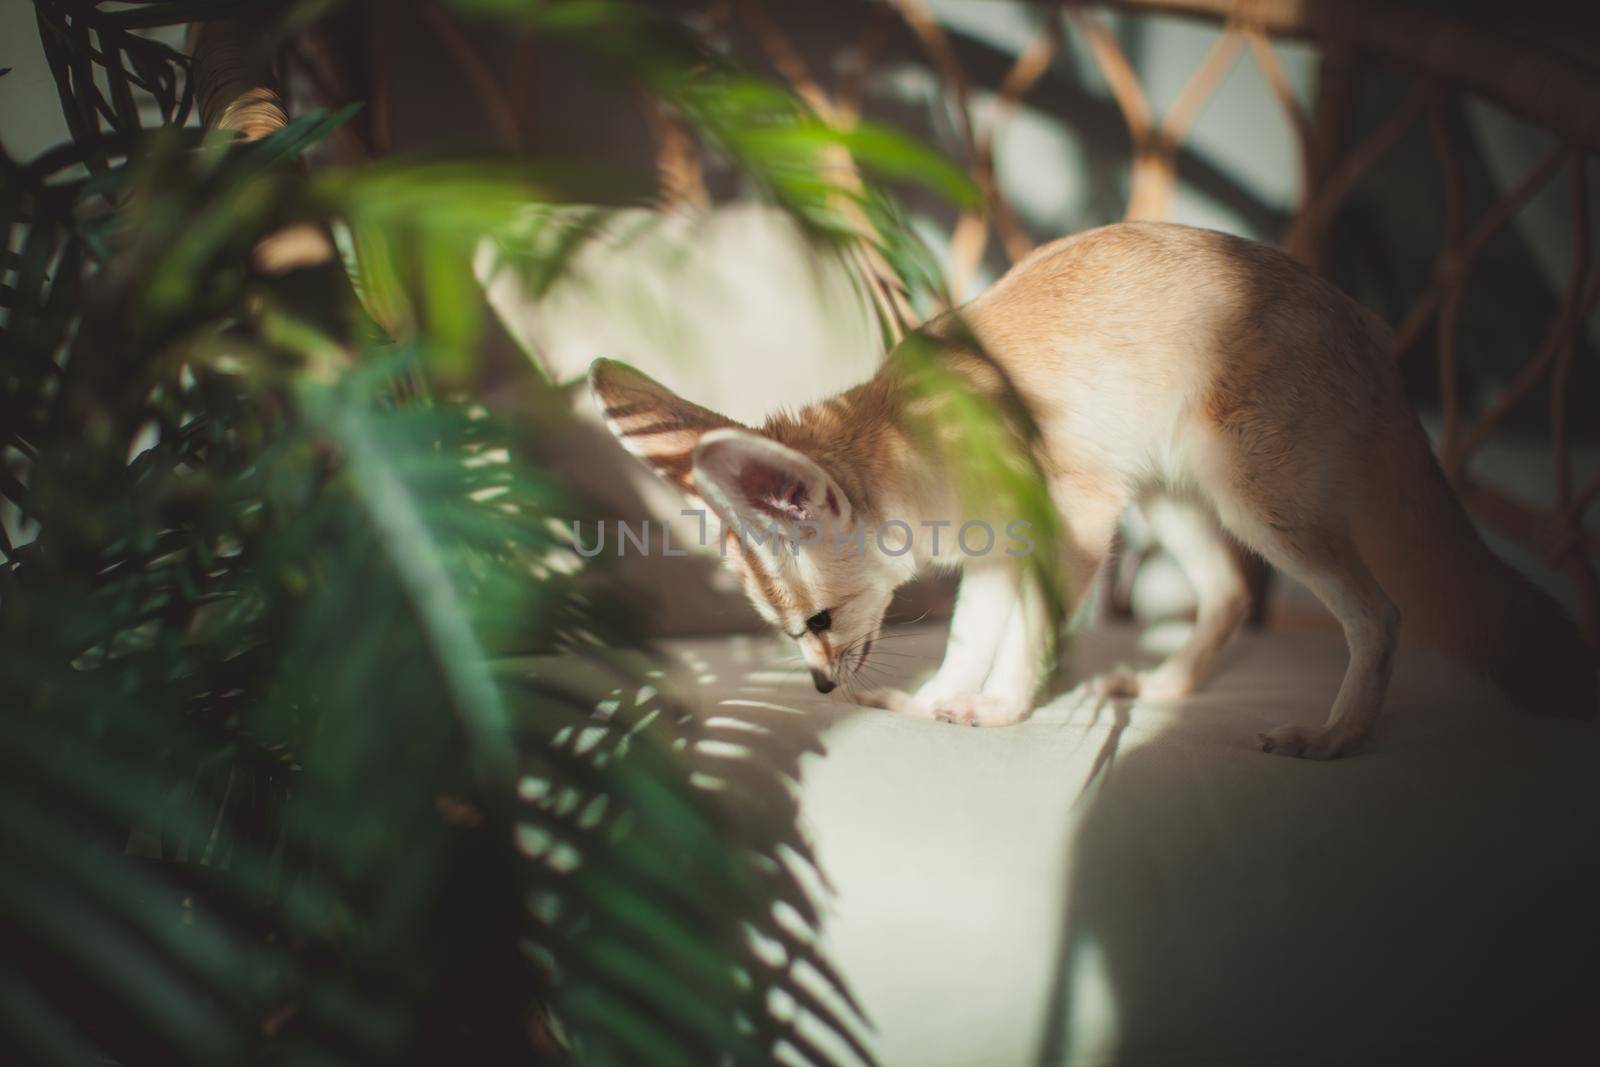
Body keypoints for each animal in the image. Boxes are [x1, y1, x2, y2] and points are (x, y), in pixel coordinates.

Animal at [592, 219, 1600, 758]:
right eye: (787, 631)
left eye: (817, 623)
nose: (818, 687)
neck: (920, 432)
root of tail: (1373, 333)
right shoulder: (997, 556)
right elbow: (968, 638)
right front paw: (939, 698)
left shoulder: (1073, 521)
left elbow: (1028, 636)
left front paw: (1000, 708)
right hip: (1175, 501)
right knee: (1229, 596)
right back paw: (1168, 690)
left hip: (1255, 505)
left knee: (1380, 615)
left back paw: (1337, 737)